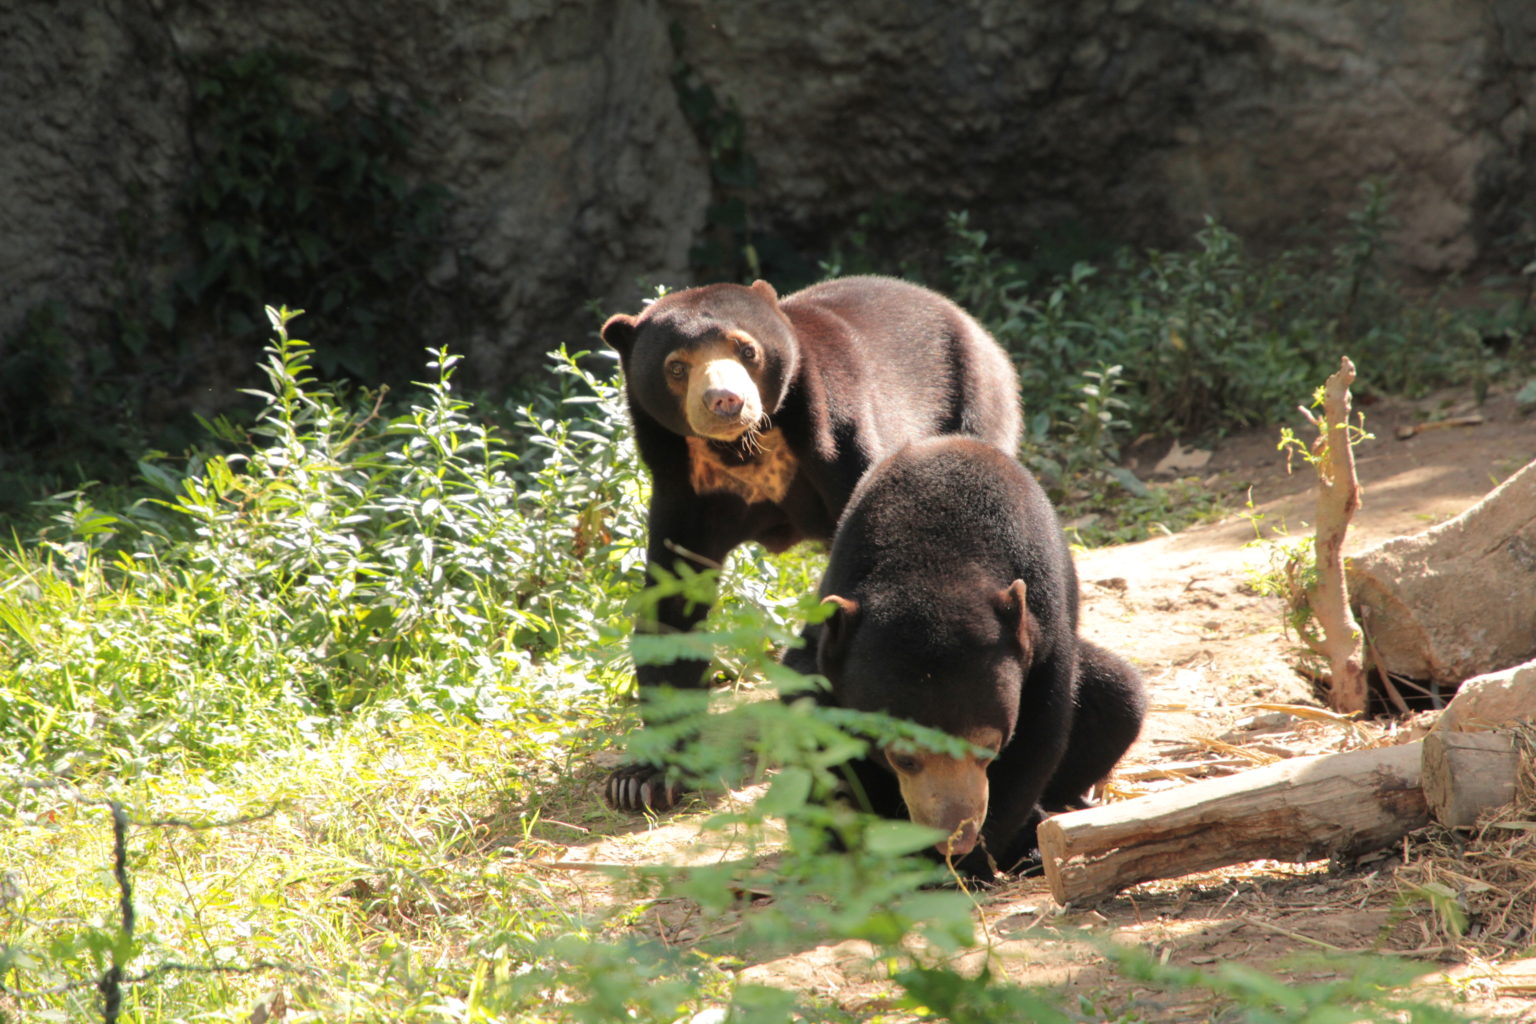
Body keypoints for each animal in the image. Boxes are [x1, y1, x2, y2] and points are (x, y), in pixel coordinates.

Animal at [599, 276, 1019, 810]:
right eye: (676, 366)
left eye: (747, 349)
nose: (725, 401)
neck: (744, 450)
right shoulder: (684, 485)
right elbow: (672, 607)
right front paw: (641, 778)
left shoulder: (838, 436)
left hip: (975, 401)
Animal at [792, 436, 1142, 878]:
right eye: (904, 759)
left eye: (987, 749)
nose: (954, 839)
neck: (932, 560)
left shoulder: (1043, 634)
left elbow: (1035, 740)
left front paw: (976, 859)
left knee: (1118, 698)